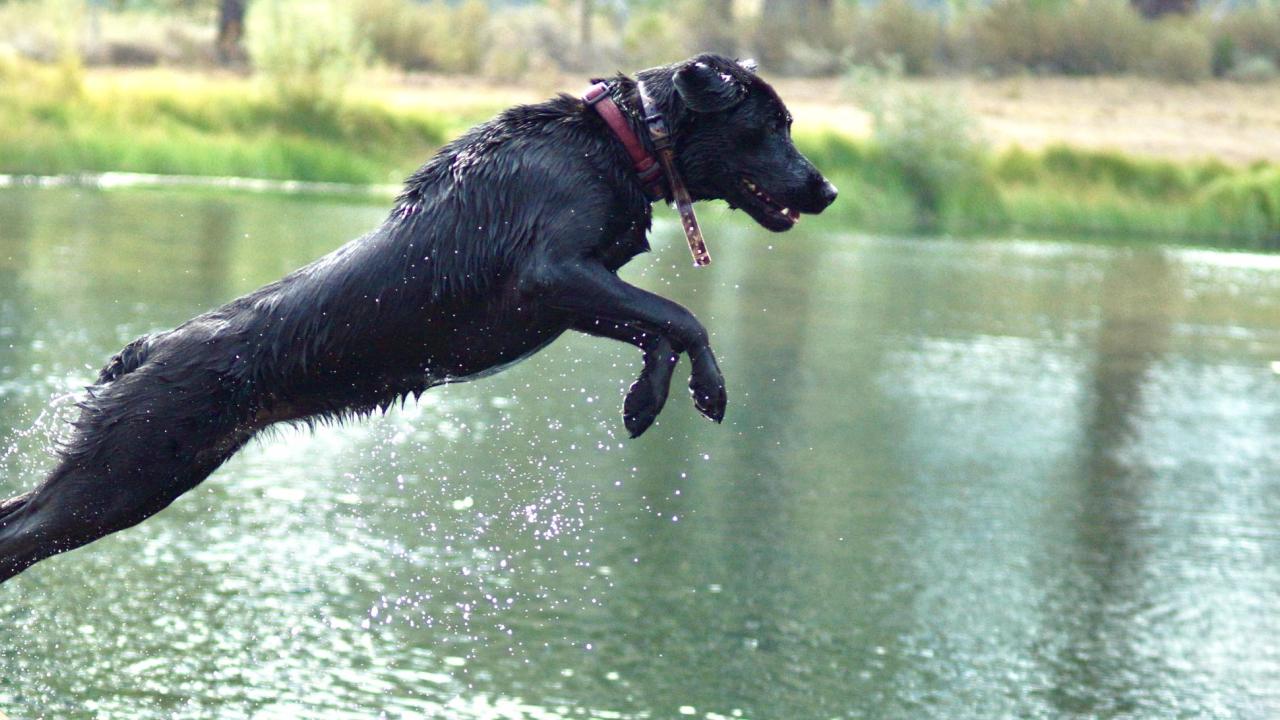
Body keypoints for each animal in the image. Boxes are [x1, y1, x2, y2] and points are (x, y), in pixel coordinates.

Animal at [0, 56, 839, 584]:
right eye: (774, 123)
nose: (827, 189)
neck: (619, 140)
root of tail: (142, 351)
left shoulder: (569, 297)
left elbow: (656, 329)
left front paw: (645, 401)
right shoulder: (554, 273)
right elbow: (683, 316)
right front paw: (707, 391)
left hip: (152, 475)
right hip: (124, 473)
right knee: (19, 530)